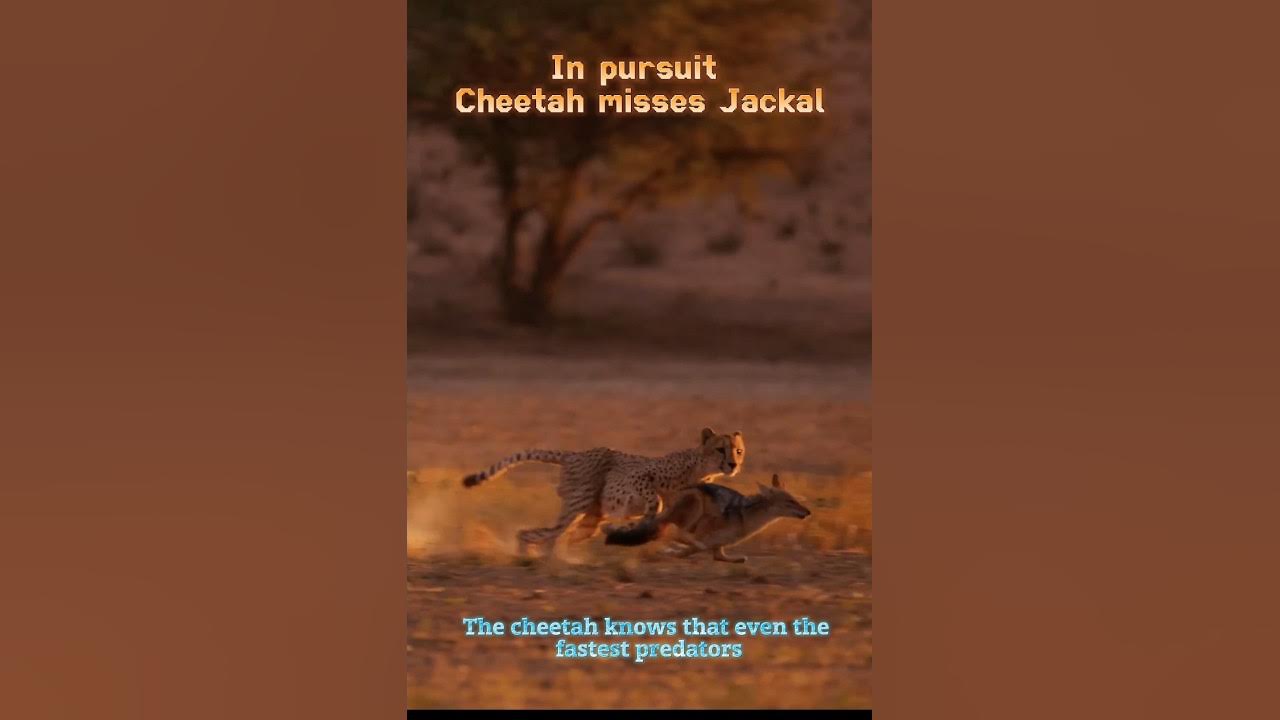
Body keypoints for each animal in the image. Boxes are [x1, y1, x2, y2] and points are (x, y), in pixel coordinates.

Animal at [460, 427, 745, 557]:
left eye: (738, 450)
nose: (733, 464)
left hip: (588, 519)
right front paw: (644, 521)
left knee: (556, 535)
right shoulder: (636, 478)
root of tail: (574, 454)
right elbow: (654, 499)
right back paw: (533, 557)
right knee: (543, 533)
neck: (700, 468)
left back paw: (547, 556)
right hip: (577, 504)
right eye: (720, 449)